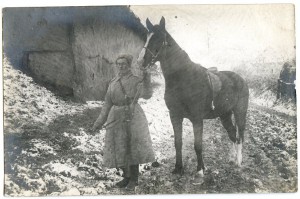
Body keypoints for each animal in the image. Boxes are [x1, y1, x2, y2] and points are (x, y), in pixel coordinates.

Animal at [137, 16, 250, 176]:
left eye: (158, 38)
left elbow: (198, 145)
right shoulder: (175, 116)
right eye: (147, 37)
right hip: (225, 115)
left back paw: (238, 162)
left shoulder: (197, 119)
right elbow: (178, 143)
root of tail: (241, 79)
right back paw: (231, 159)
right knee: (232, 134)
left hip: (240, 113)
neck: (184, 78)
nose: (141, 62)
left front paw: (200, 170)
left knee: (240, 136)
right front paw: (178, 168)